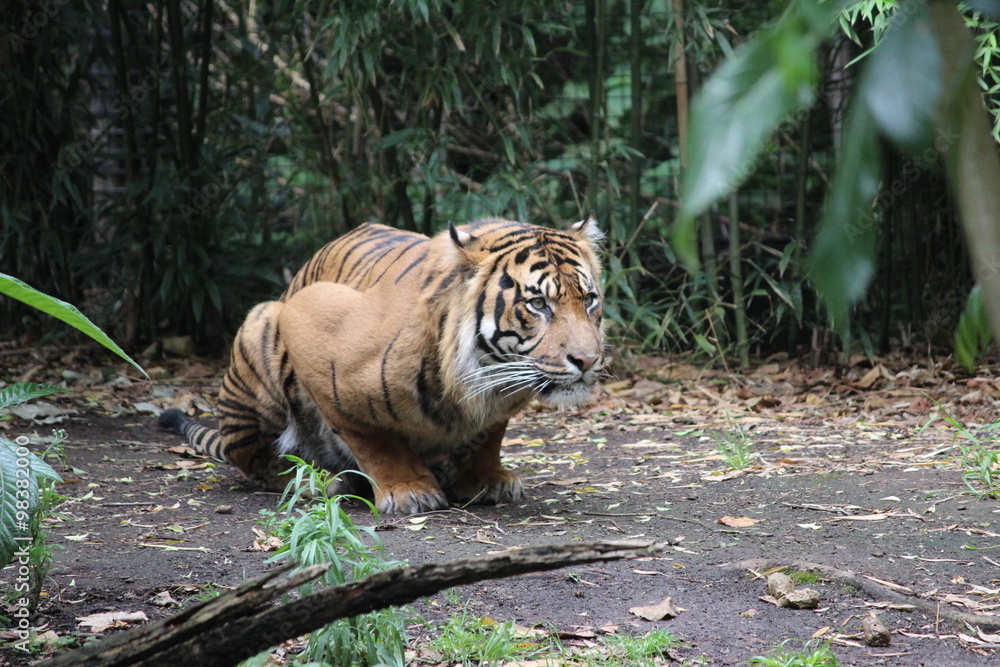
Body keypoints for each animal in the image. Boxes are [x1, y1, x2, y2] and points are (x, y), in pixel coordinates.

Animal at [160, 215, 605, 516]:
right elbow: (370, 436)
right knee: (257, 463)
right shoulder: (309, 320)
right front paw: (409, 489)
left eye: (588, 299)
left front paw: (486, 480)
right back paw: (318, 481)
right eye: (538, 303)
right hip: (263, 322)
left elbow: (489, 435)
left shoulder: (498, 402)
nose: (588, 359)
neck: (485, 373)